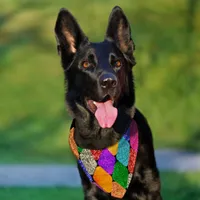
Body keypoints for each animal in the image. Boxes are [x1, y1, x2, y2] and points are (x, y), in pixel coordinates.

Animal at [54, 5, 162, 199]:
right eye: (86, 64)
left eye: (117, 63)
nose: (109, 82)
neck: (103, 135)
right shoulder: (91, 191)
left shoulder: (150, 186)